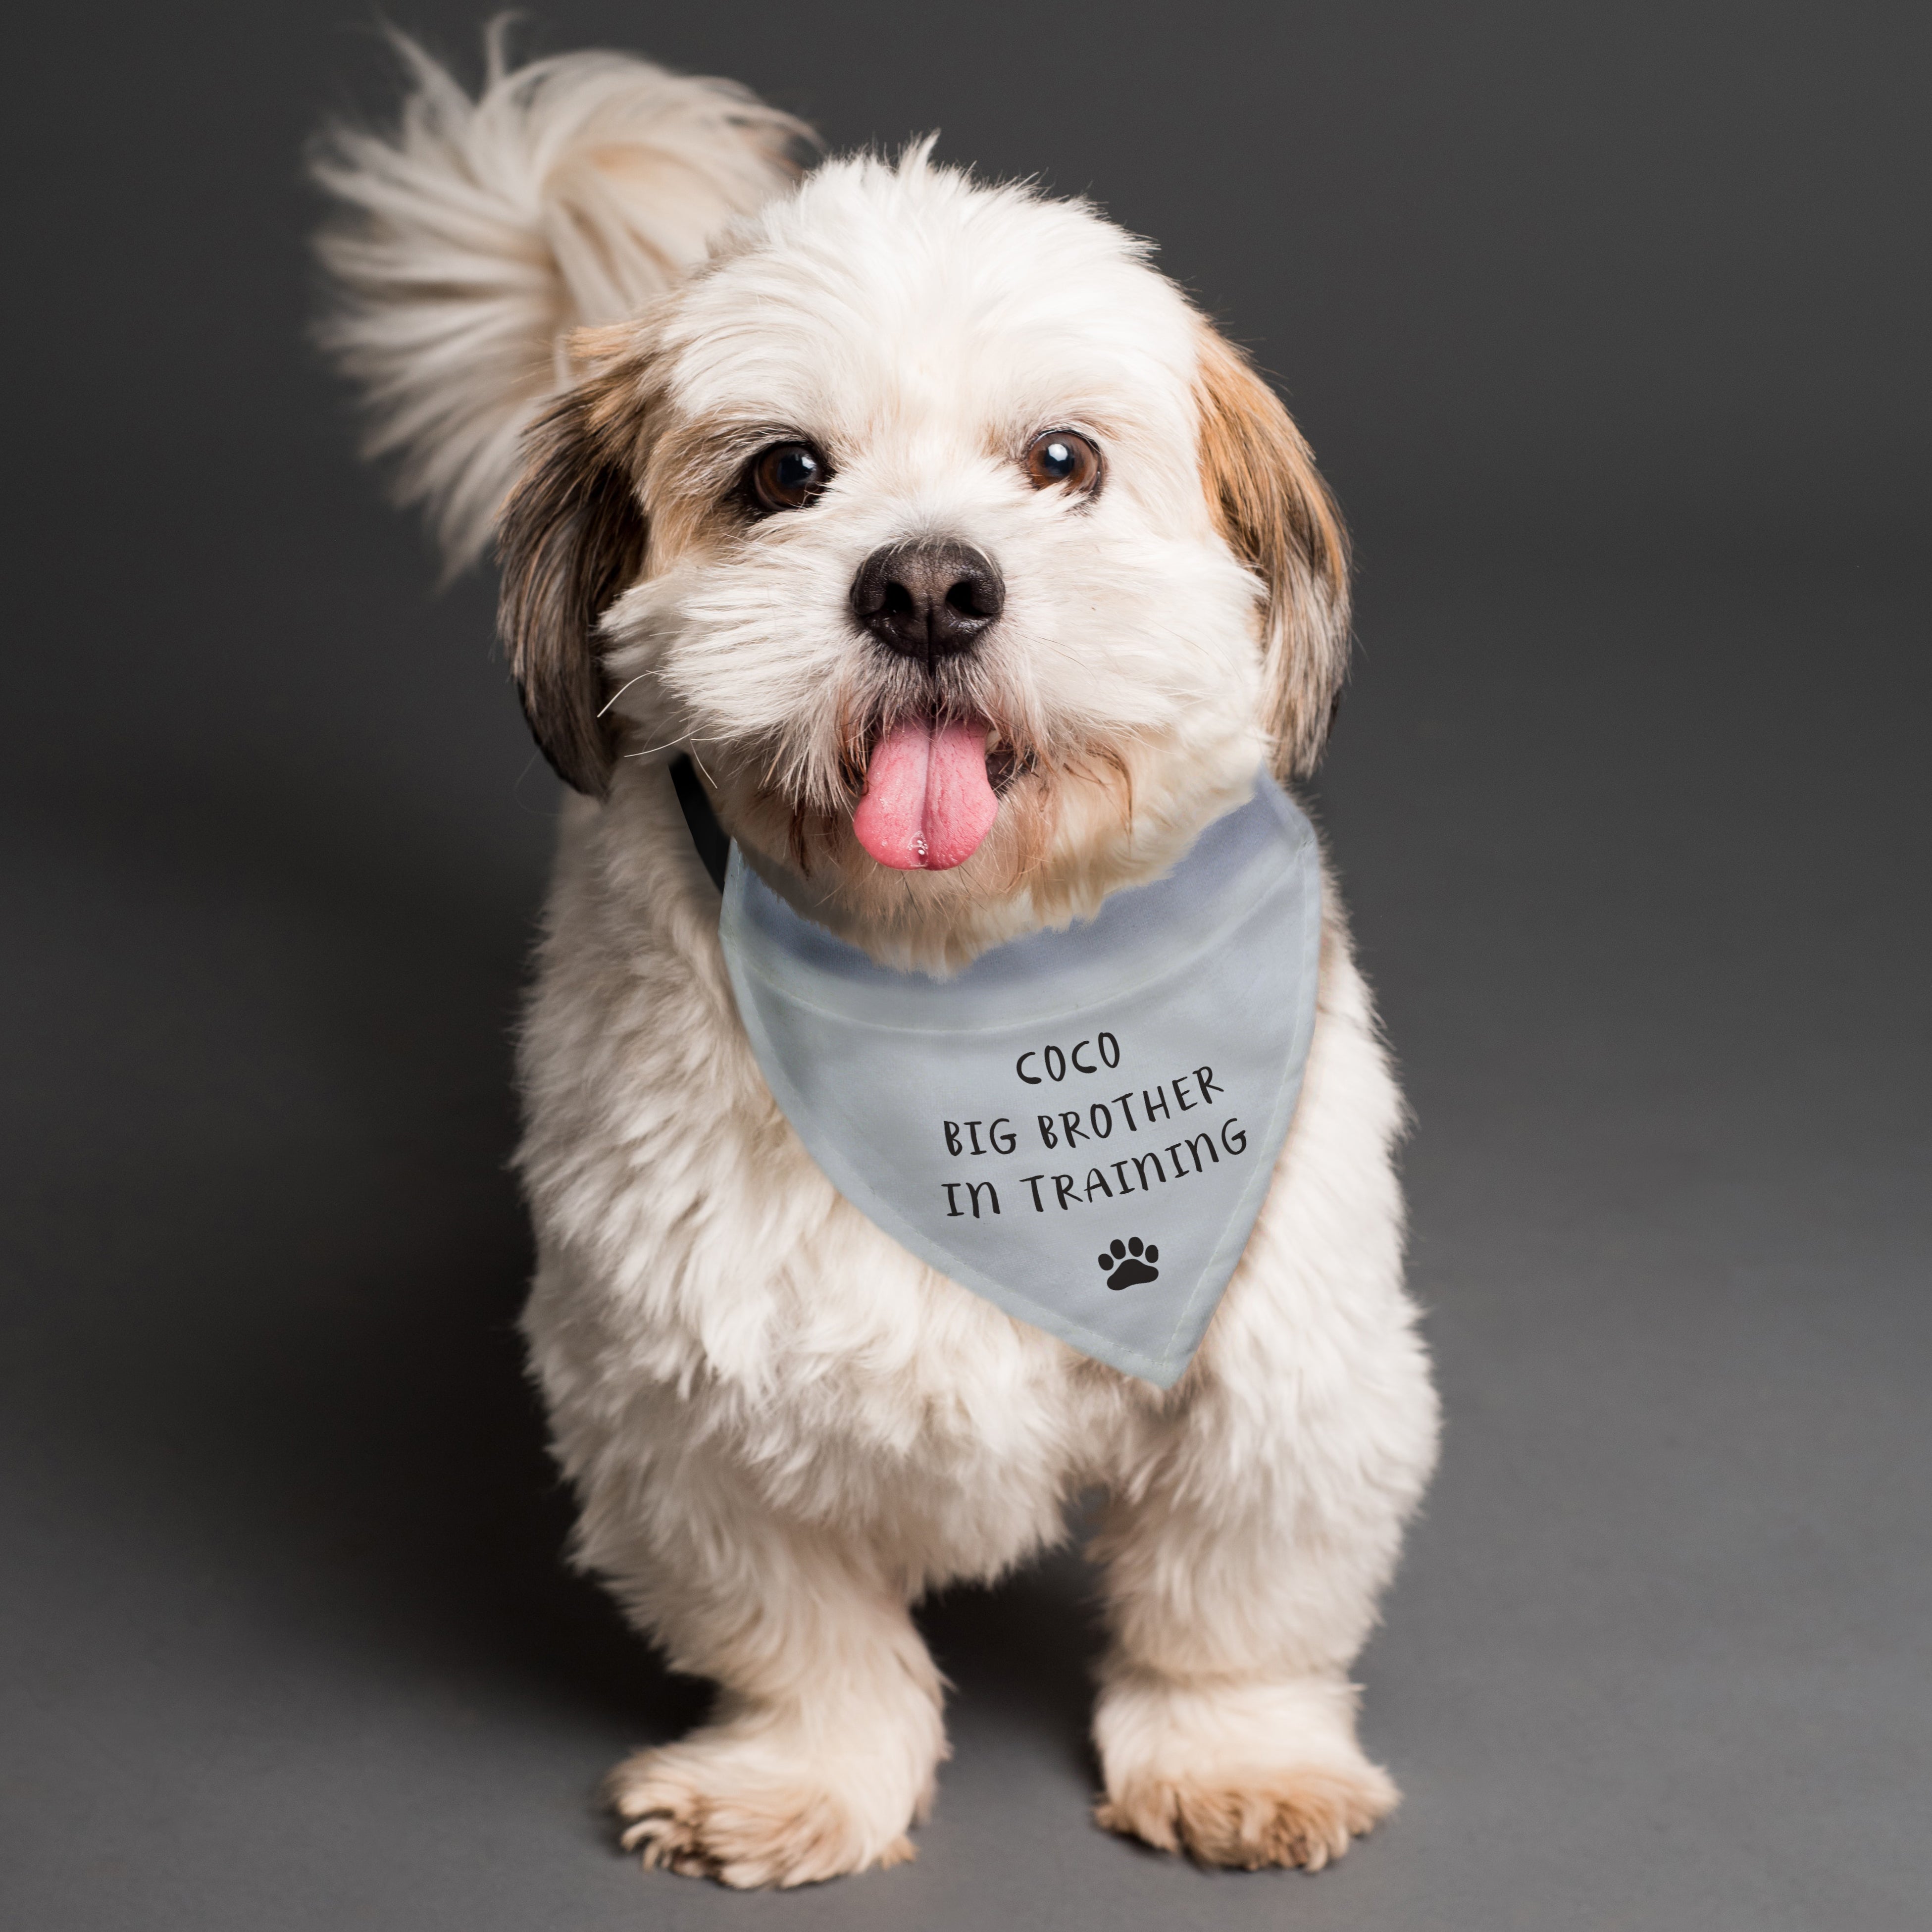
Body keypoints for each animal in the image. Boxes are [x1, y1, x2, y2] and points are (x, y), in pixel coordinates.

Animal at [313, 34, 1437, 1885]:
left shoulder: (1284, 1363)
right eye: (784, 475)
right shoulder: (676, 1397)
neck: (964, 973)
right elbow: (802, 1631)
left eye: (1060, 459)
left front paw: (1238, 1754)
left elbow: (1232, 1601)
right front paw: (800, 1774)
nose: (924, 582)